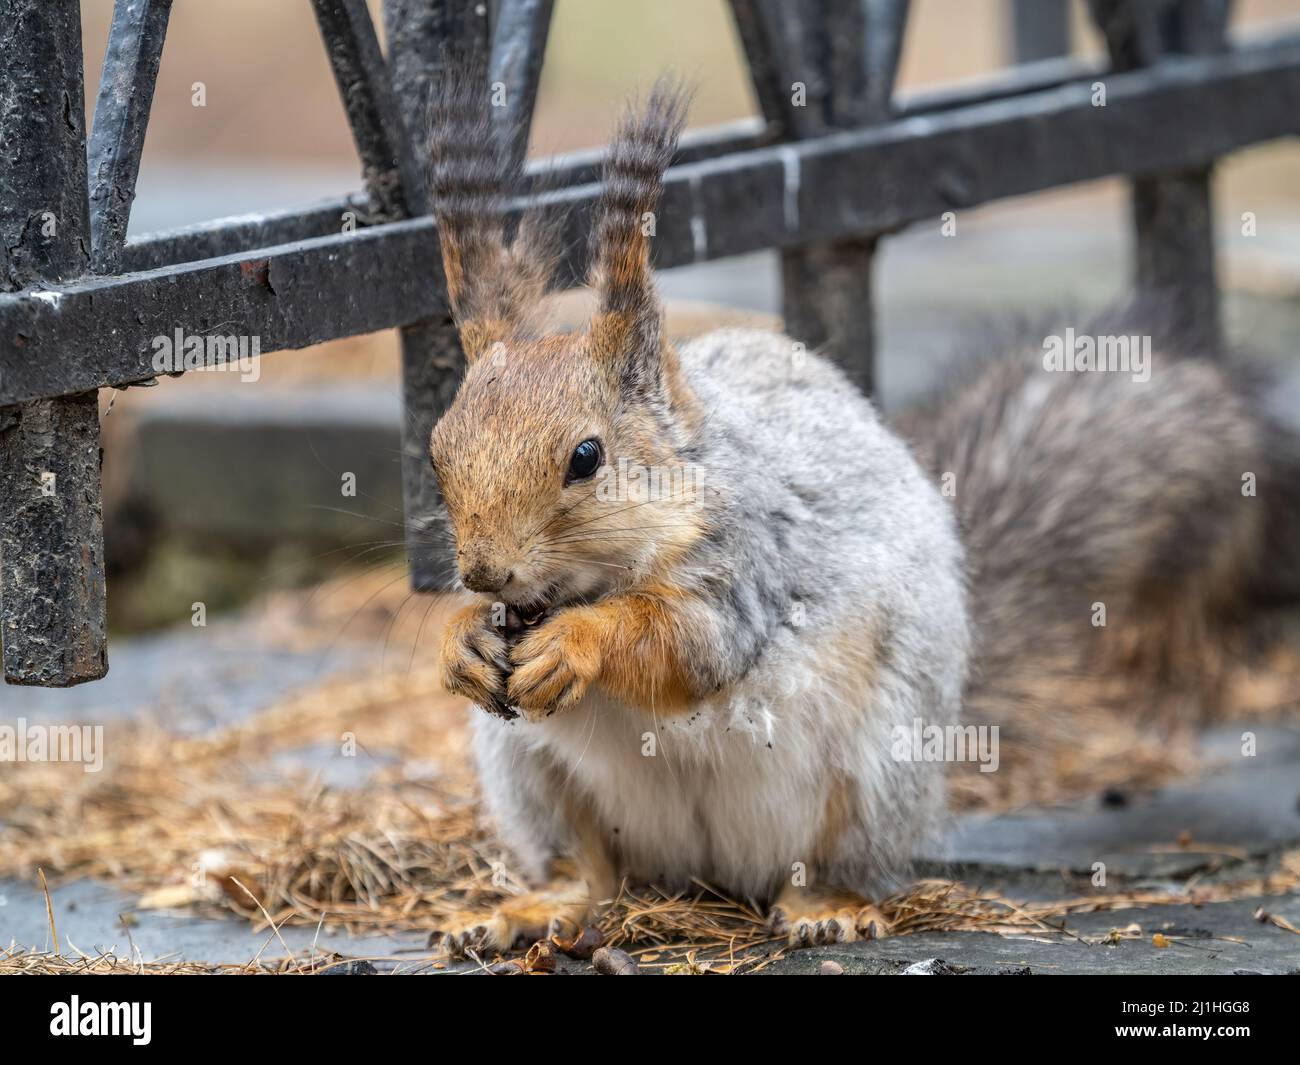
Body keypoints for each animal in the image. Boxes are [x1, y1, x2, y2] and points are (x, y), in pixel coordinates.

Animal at [423, 77, 1289, 957]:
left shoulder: (747, 566)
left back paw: (823, 904)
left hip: (876, 768)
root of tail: (707, 871)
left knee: (829, 857)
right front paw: (461, 641)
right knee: (587, 869)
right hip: (527, 774)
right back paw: (531, 908)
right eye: (436, 449)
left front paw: (576, 642)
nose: (484, 570)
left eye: (587, 456)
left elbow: (688, 645)